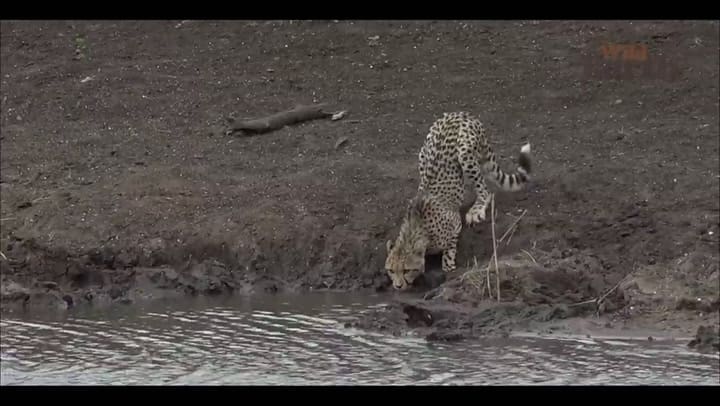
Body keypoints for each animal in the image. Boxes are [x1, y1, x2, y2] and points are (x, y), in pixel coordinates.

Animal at [385, 111, 532, 290]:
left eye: (406, 270)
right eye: (391, 270)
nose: (398, 286)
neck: (415, 229)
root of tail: (460, 114)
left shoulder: (454, 224)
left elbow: (449, 251)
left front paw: (448, 266)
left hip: (464, 153)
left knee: (486, 191)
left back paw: (477, 209)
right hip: (423, 152)